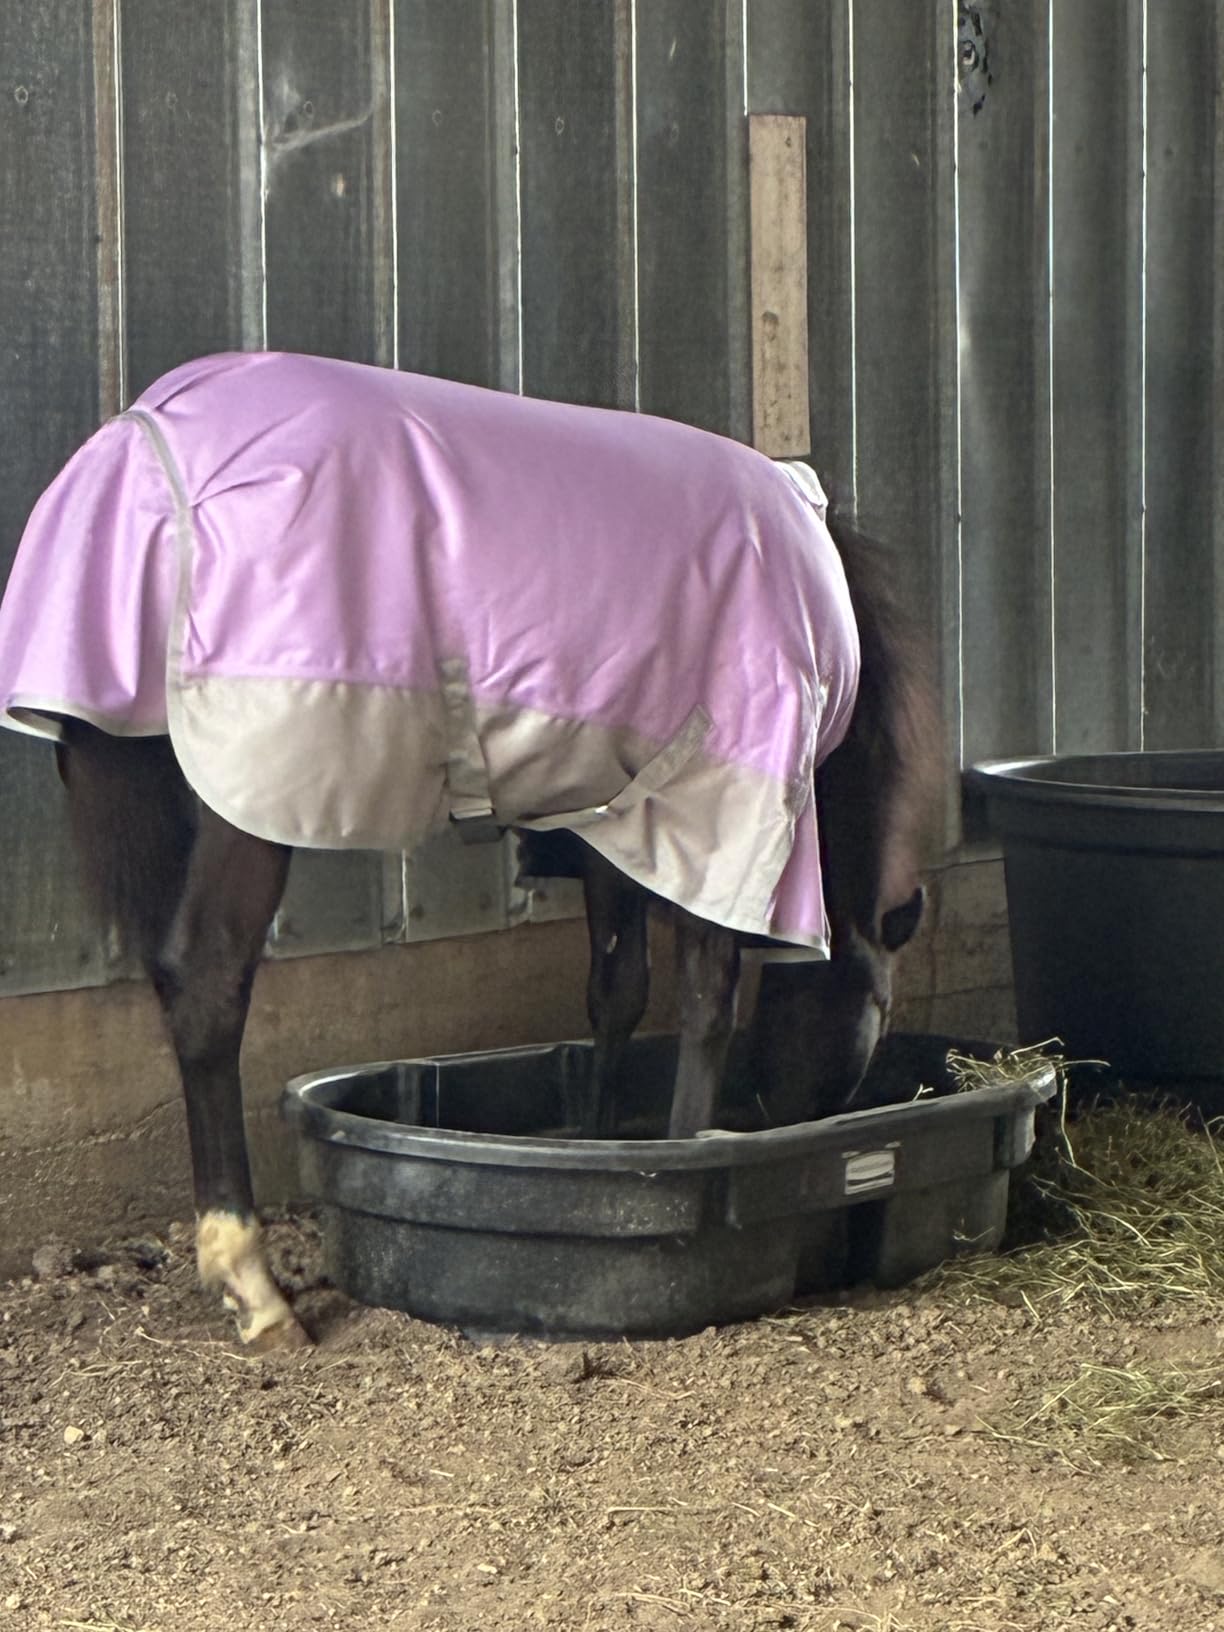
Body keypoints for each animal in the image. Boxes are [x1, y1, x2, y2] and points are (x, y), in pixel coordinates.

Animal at [0, 351, 938, 1351]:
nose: (792, 1119)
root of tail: (136, 455)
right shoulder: (721, 816)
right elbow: (705, 997)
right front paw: (686, 1150)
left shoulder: (609, 815)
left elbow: (615, 992)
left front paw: (600, 1143)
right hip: (245, 801)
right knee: (208, 986)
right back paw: (252, 1282)